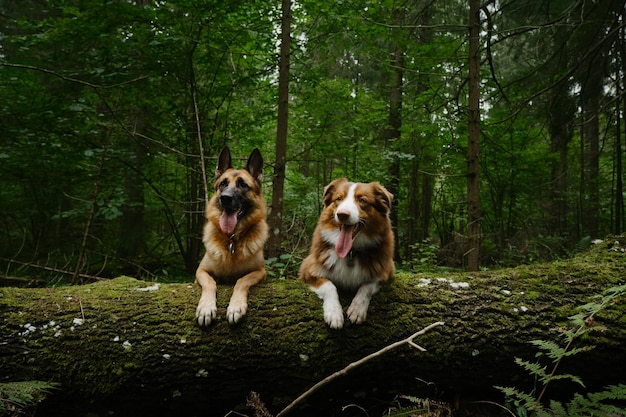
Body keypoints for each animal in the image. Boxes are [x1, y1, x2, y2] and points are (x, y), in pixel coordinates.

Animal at [195, 146, 268, 324]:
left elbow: (241, 280)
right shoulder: (201, 271)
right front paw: (206, 308)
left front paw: (236, 307)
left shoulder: (260, 272)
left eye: (243, 184)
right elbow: (210, 283)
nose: (225, 198)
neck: (232, 240)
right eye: (223, 184)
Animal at [298, 177, 394, 326]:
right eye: (339, 198)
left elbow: (366, 286)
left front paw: (357, 309)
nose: (342, 214)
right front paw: (334, 313)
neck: (350, 253)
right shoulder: (307, 270)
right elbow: (329, 286)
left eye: (362, 200)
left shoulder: (386, 272)